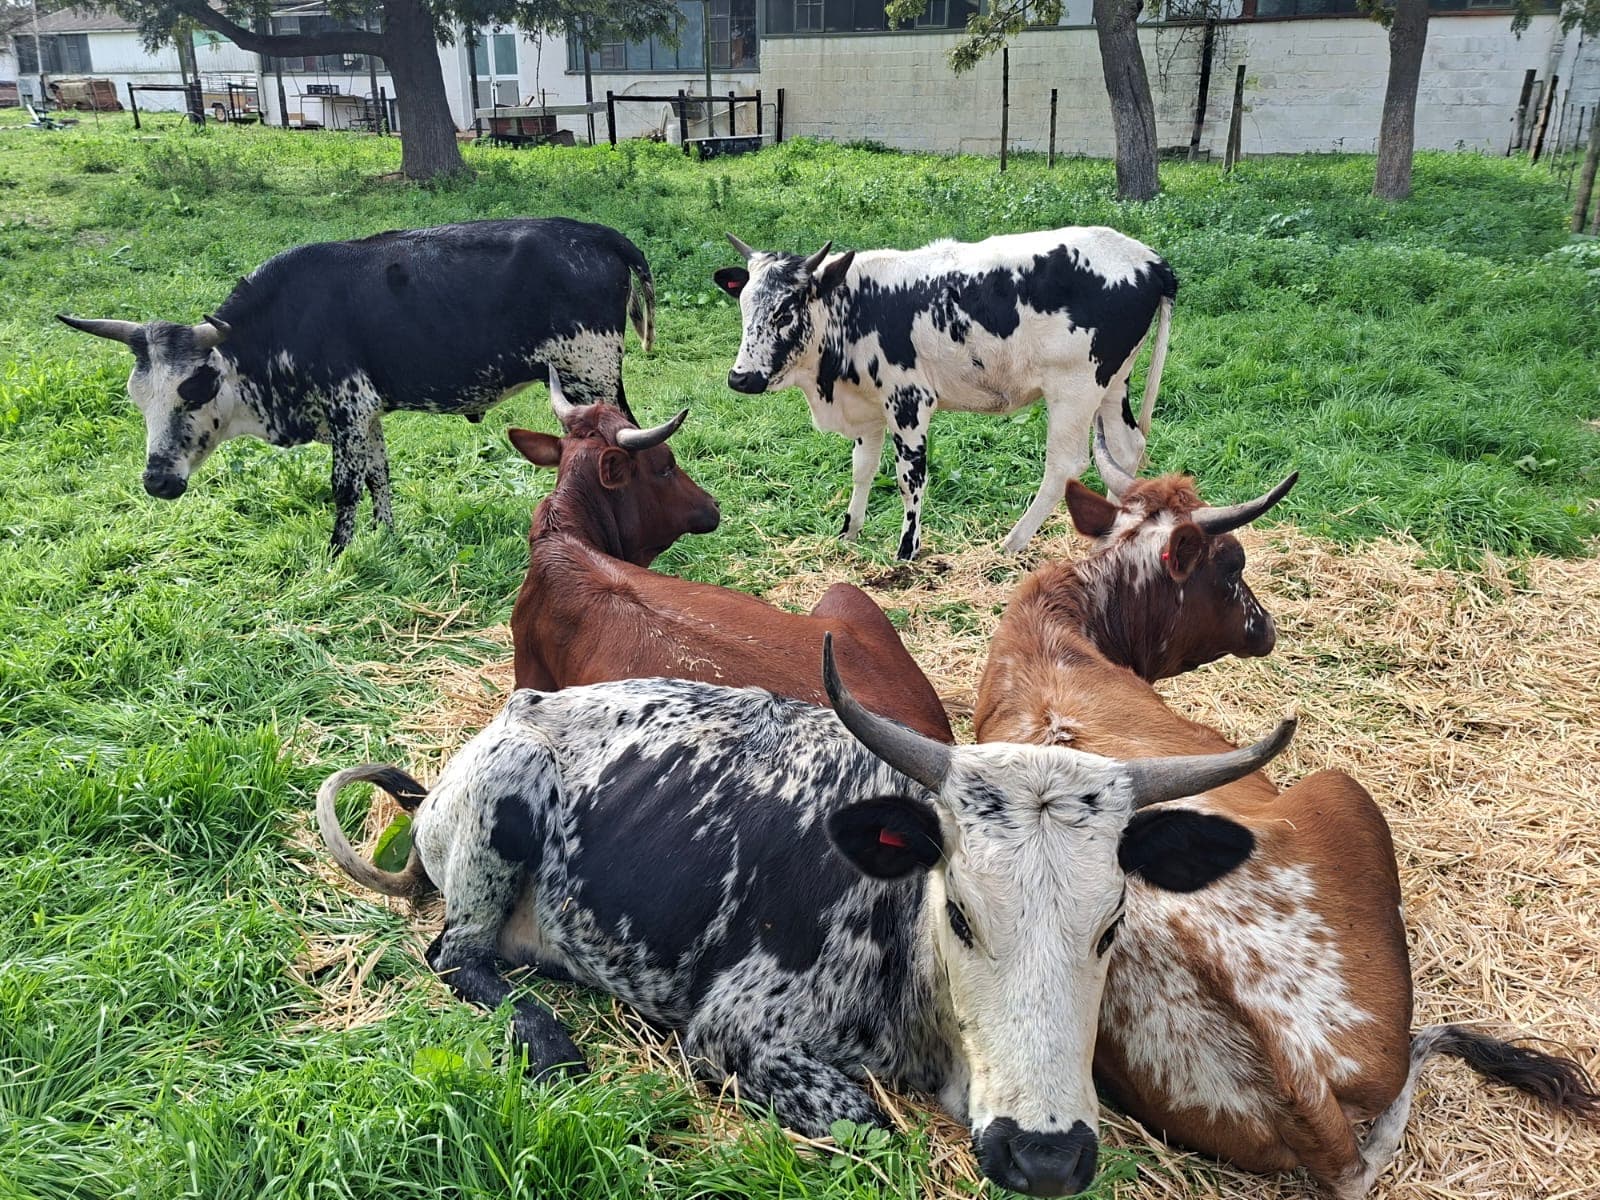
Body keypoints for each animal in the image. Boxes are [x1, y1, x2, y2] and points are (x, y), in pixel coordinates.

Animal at [58, 217, 655, 552]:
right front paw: (387, 537)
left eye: (196, 387)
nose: (158, 481)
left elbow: (344, 487)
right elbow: (378, 478)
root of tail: (598, 235)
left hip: (591, 375)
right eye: (138, 397)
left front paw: (337, 555)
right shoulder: (364, 415)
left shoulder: (347, 408)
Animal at [317, 638, 1296, 1198]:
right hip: (499, 813)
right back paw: (549, 1039)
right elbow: (868, 1123)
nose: (1046, 1159)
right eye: (962, 914)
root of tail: (509, 714)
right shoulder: (731, 1030)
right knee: (455, 954)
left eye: (1109, 925)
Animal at [712, 227, 1175, 560]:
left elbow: (909, 478)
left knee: (1065, 465)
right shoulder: (868, 407)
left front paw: (906, 551)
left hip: (1075, 388)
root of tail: (1149, 260)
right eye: (744, 305)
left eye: (785, 311)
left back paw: (1013, 542)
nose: (740, 378)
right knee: (1124, 448)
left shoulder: (909, 402)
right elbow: (862, 469)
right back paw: (1110, 537)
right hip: (1112, 385)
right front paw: (849, 533)